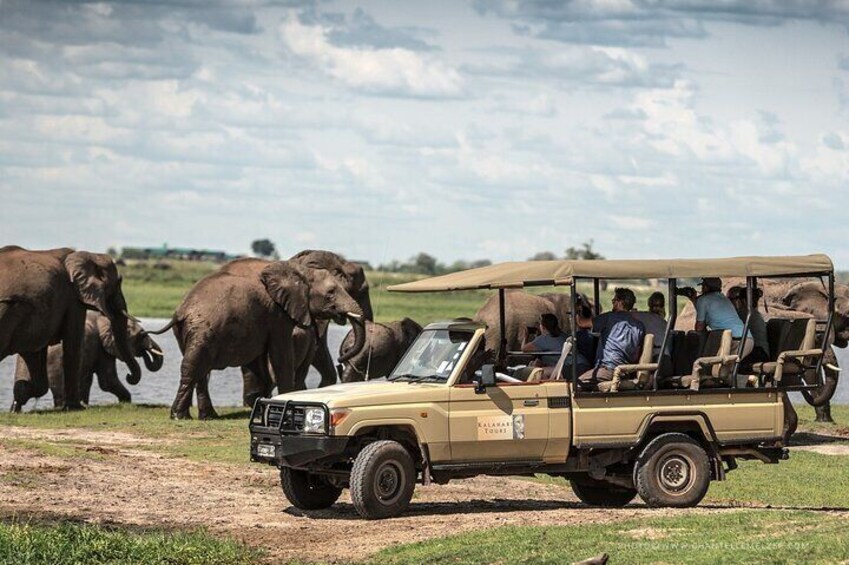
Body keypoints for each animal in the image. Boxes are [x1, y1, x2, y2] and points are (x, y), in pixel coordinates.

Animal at [0, 247, 141, 410]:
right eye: (116, 285)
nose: (129, 377)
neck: (89, 255)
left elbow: (35, 353)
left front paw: (18, 400)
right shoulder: (73, 297)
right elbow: (73, 344)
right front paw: (76, 407)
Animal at [12, 312, 163, 406]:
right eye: (141, 335)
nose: (128, 376)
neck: (106, 318)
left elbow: (88, 381)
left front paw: (85, 403)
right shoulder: (101, 347)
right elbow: (108, 380)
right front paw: (125, 402)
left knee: (24, 385)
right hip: (54, 362)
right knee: (58, 389)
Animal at [161, 258, 366, 416]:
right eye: (331, 293)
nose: (341, 358)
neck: (299, 271)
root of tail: (181, 311)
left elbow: (261, 360)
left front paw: (262, 404)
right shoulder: (277, 314)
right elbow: (281, 356)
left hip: (189, 332)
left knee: (200, 372)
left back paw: (206, 416)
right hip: (203, 330)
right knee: (193, 368)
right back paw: (179, 415)